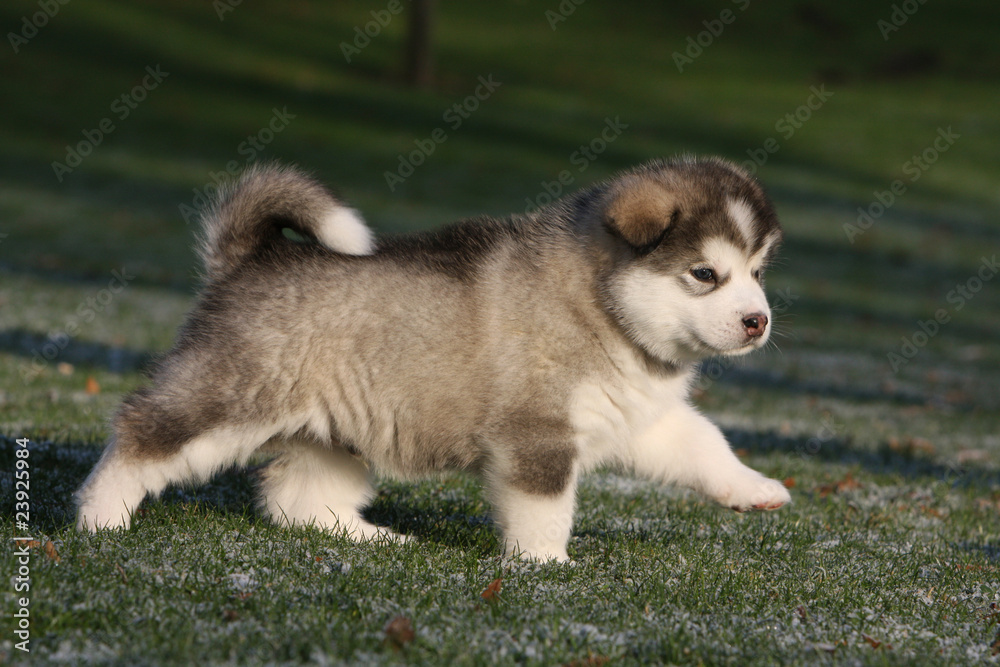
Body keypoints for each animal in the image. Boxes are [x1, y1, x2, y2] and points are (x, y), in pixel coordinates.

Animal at [76, 159, 788, 560]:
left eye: (757, 272)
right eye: (705, 274)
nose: (759, 321)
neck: (603, 309)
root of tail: (252, 256)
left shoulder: (640, 417)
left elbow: (706, 445)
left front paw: (756, 489)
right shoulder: (537, 437)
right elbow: (545, 509)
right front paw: (546, 566)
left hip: (337, 431)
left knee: (297, 500)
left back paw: (376, 538)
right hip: (230, 394)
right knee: (141, 432)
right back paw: (98, 519)